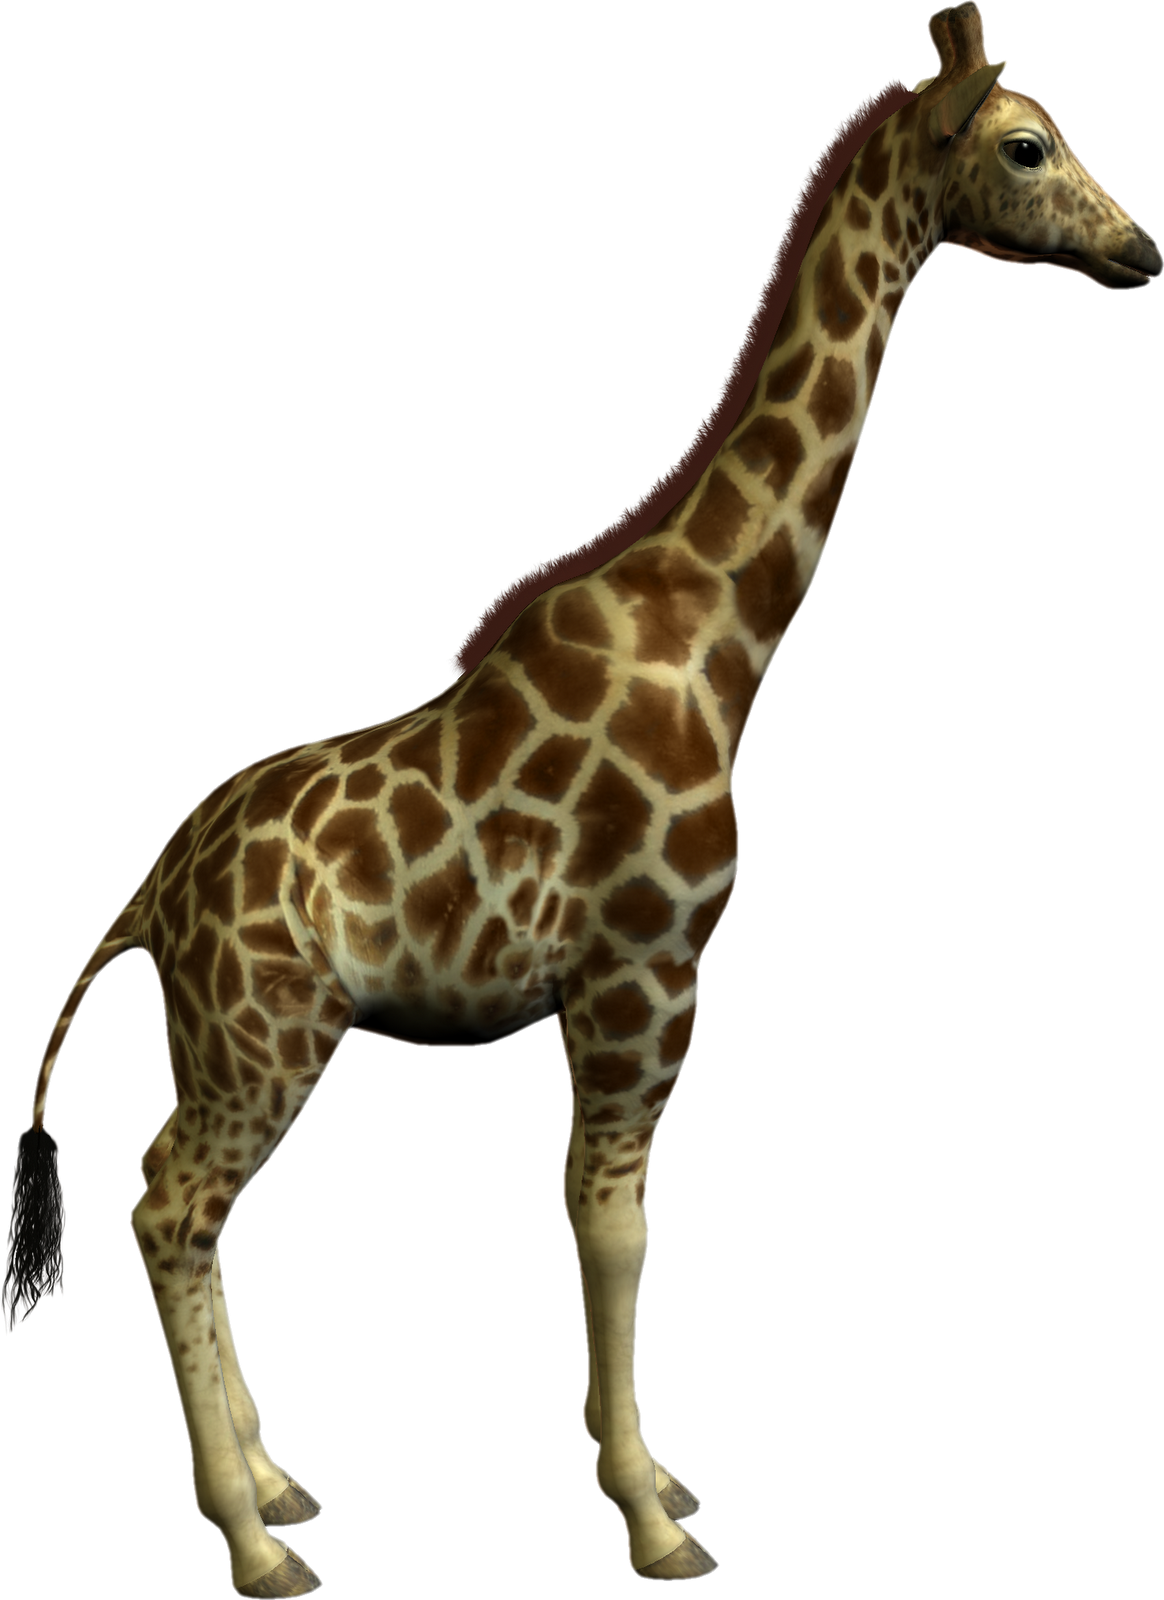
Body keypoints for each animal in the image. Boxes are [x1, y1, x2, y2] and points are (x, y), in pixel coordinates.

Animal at [3, 4, 1157, 1591]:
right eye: (1030, 144)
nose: (1145, 252)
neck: (719, 632)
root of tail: (148, 894)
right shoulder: (643, 972)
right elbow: (615, 1227)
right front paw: (651, 1520)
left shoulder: (628, 987)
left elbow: (606, 1221)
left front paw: (657, 1480)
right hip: (264, 1036)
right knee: (172, 1203)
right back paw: (251, 1541)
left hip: (231, 1040)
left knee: (179, 1206)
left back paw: (278, 1481)